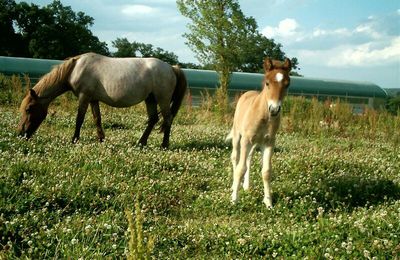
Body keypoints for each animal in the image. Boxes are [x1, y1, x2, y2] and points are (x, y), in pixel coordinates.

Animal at [17, 52, 188, 148]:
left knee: (167, 119)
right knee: (153, 119)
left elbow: (79, 119)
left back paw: (164, 145)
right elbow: (97, 119)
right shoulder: (93, 99)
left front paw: (74, 140)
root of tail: (172, 67)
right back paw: (141, 142)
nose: (21, 134)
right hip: (150, 99)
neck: (75, 68)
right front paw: (101, 139)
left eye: (28, 109)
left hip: (162, 99)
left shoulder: (84, 97)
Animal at [228, 57, 290, 207]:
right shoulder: (245, 140)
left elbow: (266, 172)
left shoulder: (269, 142)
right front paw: (234, 200)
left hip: (255, 143)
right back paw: (234, 186)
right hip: (238, 136)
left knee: (249, 158)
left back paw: (246, 186)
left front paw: (268, 202)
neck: (264, 116)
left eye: (287, 85)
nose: (274, 109)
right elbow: (240, 168)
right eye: (267, 83)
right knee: (235, 157)